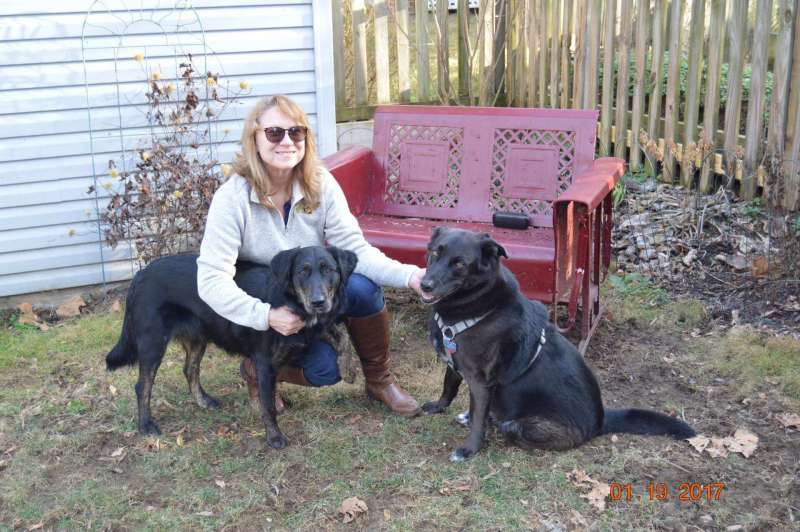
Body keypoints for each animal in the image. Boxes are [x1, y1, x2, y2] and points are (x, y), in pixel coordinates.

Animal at [106, 245, 356, 448]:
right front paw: (274, 437)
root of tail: (140, 274)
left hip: (197, 337)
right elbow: (268, 406)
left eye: (328, 270)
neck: (292, 300)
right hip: (153, 341)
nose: (318, 302)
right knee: (143, 385)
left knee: (190, 370)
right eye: (302, 272)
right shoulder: (265, 361)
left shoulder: (317, 326)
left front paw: (348, 370)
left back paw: (203, 401)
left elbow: (342, 336)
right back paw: (146, 425)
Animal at [418, 228, 692, 462]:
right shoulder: (454, 363)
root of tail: (601, 420)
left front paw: (469, 449)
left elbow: (478, 418)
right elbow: (448, 387)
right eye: (435, 252)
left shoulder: (480, 381)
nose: (424, 284)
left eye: (459, 263)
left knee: (504, 424)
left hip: (522, 426)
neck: (477, 306)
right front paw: (438, 407)